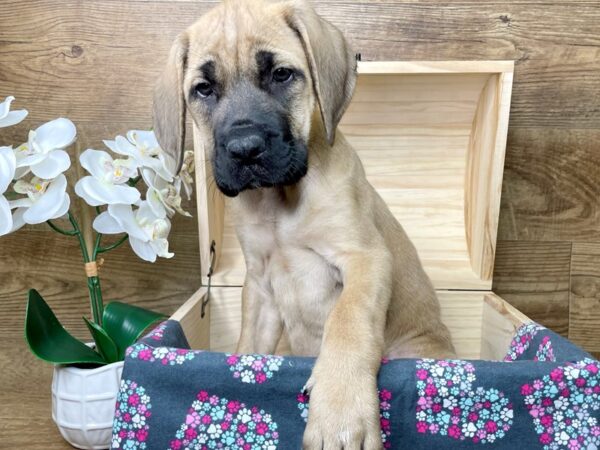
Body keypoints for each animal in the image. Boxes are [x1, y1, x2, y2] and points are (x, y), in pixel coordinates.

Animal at [154, 1, 454, 448]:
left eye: (281, 74)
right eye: (203, 89)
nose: (245, 149)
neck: (280, 201)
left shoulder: (365, 259)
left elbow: (348, 322)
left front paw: (340, 411)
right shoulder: (260, 286)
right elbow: (250, 344)